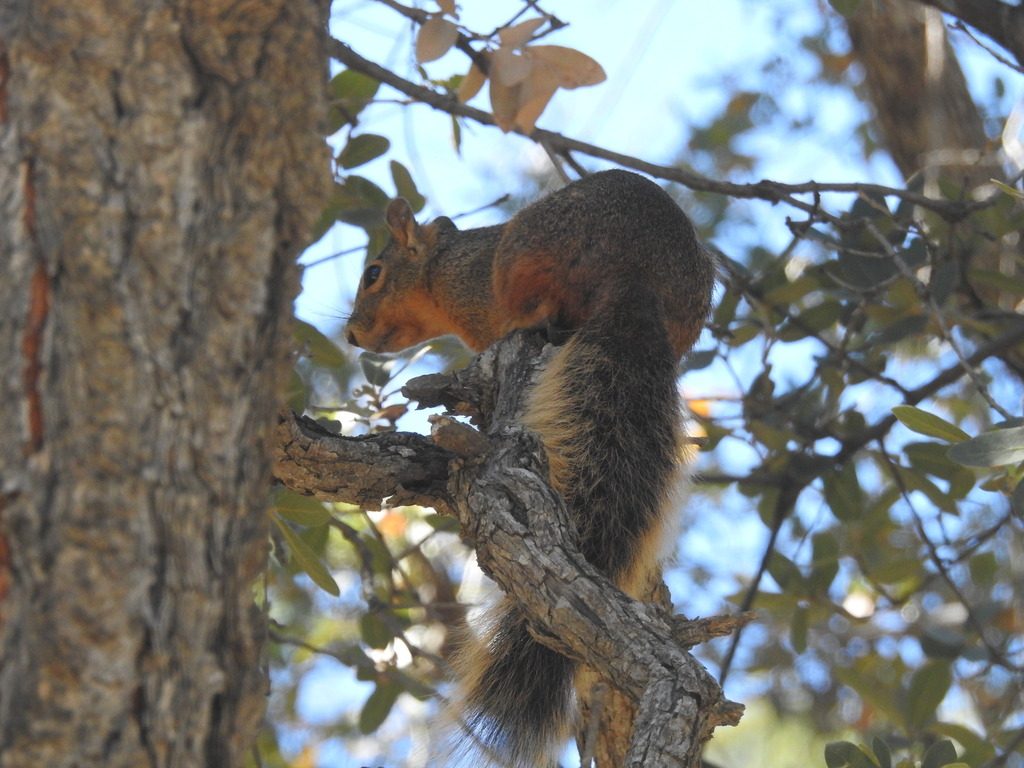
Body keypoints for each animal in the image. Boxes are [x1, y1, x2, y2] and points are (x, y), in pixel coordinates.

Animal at [345, 169, 715, 766]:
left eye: (373, 274)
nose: (352, 334)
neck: (442, 273)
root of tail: (638, 275)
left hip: (526, 255)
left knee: (539, 304)